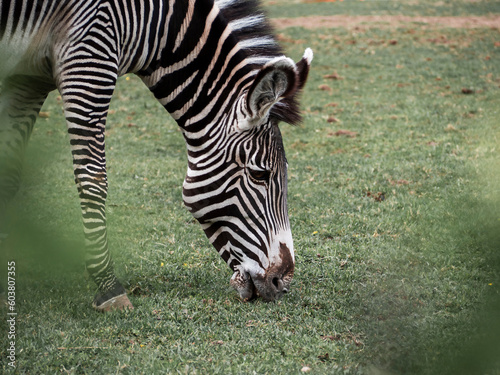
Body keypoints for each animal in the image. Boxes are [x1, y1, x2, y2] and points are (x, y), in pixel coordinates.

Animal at [0, 0, 310, 312]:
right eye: (259, 174)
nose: (282, 283)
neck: (153, 21)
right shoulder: (89, 55)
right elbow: (93, 178)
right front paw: (109, 286)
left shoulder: (28, 78)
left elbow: (9, 174)